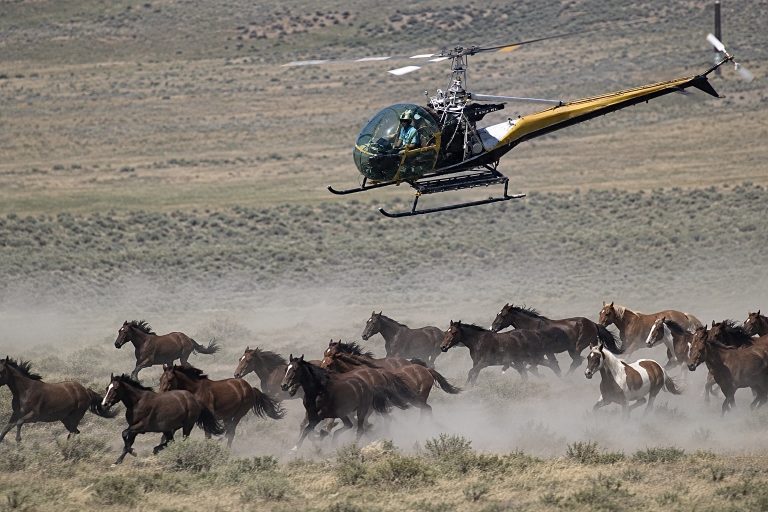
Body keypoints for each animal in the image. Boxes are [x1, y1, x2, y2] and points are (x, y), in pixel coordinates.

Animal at [280, 354, 416, 450]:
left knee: (363, 427)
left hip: (363, 409)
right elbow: (307, 429)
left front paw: (295, 449)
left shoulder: (321, 415)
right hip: (350, 412)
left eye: (295, 369)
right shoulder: (312, 414)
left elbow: (309, 429)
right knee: (354, 425)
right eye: (286, 369)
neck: (318, 391)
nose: (284, 386)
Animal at [320, 349, 460, 418]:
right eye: (322, 362)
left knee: (426, 409)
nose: (321, 375)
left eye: (329, 364)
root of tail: (426, 370)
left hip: (419, 398)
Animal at [490, 304, 622, 373]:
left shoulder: (542, 352)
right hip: (577, 347)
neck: (532, 326)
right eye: (497, 314)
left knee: (577, 361)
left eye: (503, 315)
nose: (492, 328)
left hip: (577, 347)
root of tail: (594, 324)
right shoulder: (546, 353)